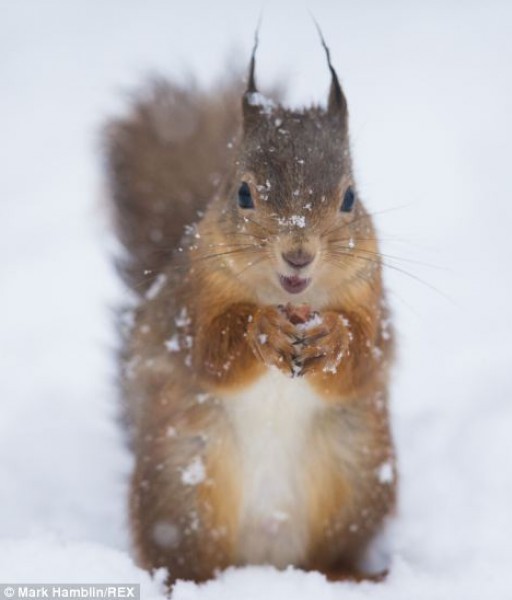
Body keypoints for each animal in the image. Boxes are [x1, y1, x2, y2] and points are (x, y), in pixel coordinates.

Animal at [104, 35, 396, 586]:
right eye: (243, 193)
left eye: (350, 198)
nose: (298, 254)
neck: (292, 299)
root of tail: (266, 555)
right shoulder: (191, 298)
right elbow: (210, 352)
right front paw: (262, 331)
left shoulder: (370, 292)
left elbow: (365, 357)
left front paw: (335, 337)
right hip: (181, 481)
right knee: (184, 554)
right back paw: (187, 583)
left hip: (358, 474)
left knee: (327, 554)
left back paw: (351, 574)